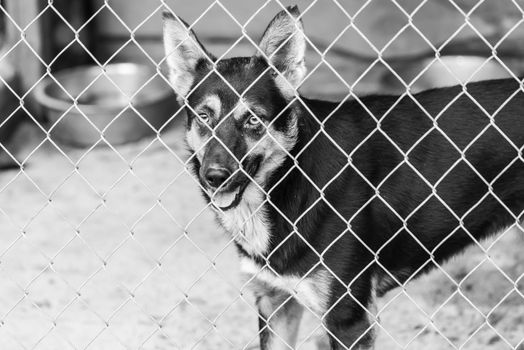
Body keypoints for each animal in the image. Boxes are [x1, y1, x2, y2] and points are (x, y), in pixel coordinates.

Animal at [162, 5, 520, 350]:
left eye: (253, 120)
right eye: (204, 117)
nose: (214, 176)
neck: (291, 181)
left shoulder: (348, 318)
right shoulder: (275, 302)